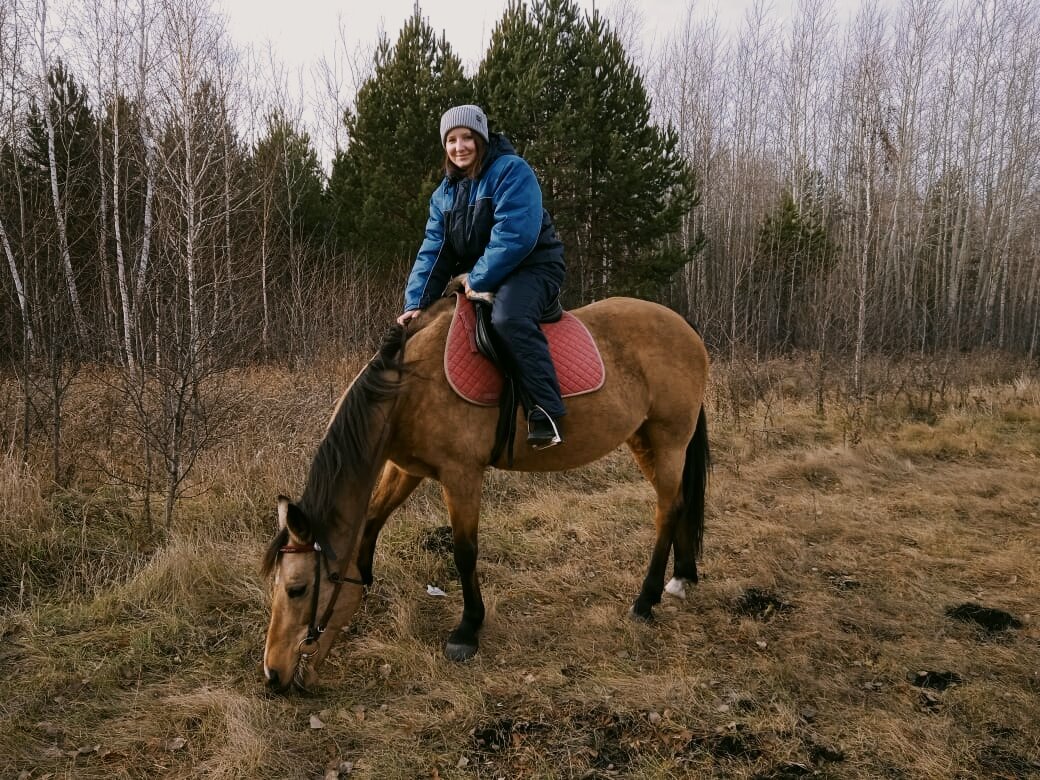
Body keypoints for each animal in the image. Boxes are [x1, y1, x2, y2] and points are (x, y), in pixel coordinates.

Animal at [260, 295, 707, 694]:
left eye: (298, 589)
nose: (273, 675)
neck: (408, 389)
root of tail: (685, 327)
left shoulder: (461, 474)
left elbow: (464, 551)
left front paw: (468, 629)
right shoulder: (406, 469)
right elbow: (370, 527)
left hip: (668, 440)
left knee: (667, 510)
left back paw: (646, 600)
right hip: (644, 439)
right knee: (679, 504)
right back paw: (682, 575)